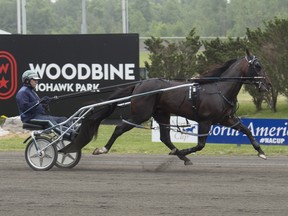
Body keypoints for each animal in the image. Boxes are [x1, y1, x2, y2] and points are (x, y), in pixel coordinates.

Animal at [60, 50, 272, 165]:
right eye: (258, 66)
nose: (268, 85)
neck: (218, 89)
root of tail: (140, 84)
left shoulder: (226, 119)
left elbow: (247, 130)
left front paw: (261, 152)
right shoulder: (205, 121)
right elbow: (200, 145)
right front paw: (185, 152)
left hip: (162, 114)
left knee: (165, 137)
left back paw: (180, 155)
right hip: (141, 114)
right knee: (120, 128)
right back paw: (102, 149)